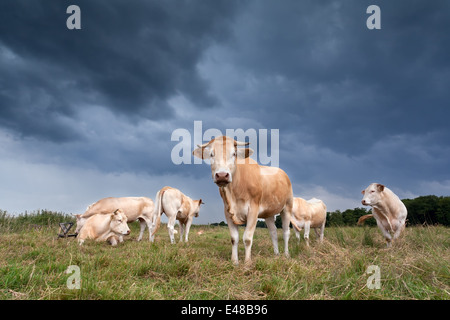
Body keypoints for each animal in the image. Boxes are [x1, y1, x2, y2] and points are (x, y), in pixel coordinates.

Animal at [193, 136, 296, 266]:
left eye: (234, 154)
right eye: (211, 154)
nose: (222, 175)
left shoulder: (253, 209)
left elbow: (247, 238)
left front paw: (247, 262)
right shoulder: (227, 211)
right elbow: (234, 238)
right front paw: (235, 261)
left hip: (287, 207)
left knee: (286, 232)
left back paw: (286, 255)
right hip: (268, 213)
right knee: (273, 232)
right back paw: (276, 254)